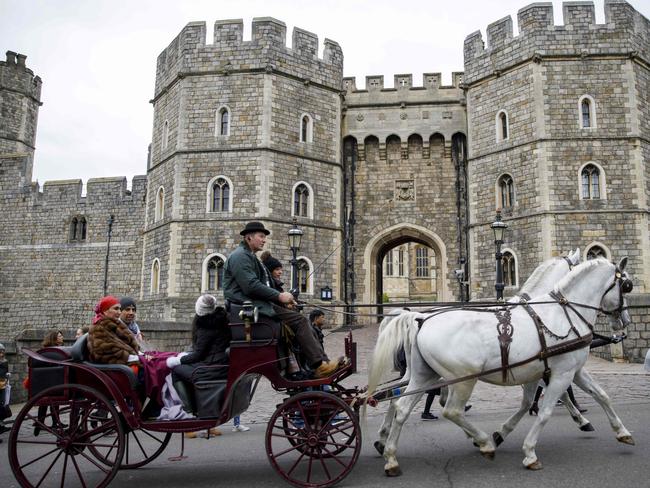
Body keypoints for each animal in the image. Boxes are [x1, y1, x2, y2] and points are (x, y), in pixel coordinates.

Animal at [368, 258, 632, 474]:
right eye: (627, 286)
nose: (626, 321)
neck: (562, 313)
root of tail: (420, 318)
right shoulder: (561, 373)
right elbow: (546, 410)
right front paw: (529, 452)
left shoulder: (559, 370)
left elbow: (599, 395)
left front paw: (622, 432)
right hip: (463, 379)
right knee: (450, 410)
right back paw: (483, 443)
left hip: (425, 375)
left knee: (400, 405)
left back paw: (390, 456)